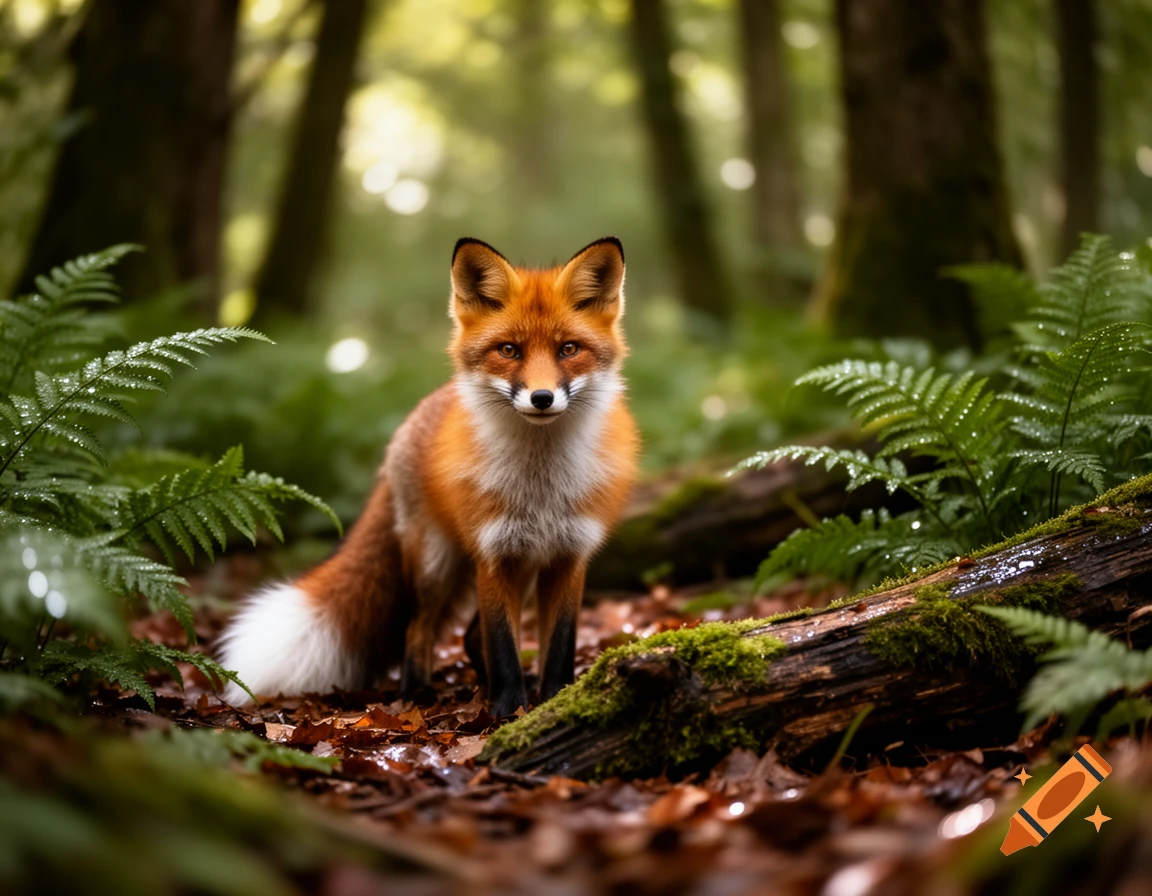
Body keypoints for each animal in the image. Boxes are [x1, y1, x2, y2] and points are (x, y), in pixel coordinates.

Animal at [217, 237, 639, 717]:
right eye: (509, 350)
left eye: (568, 349)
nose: (542, 397)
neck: (540, 486)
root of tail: (414, 418)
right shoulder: (493, 556)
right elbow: (502, 646)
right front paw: (507, 712)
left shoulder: (569, 557)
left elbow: (560, 646)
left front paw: (556, 700)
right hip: (435, 564)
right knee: (418, 627)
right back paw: (416, 692)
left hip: (520, 568)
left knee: (468, 636)